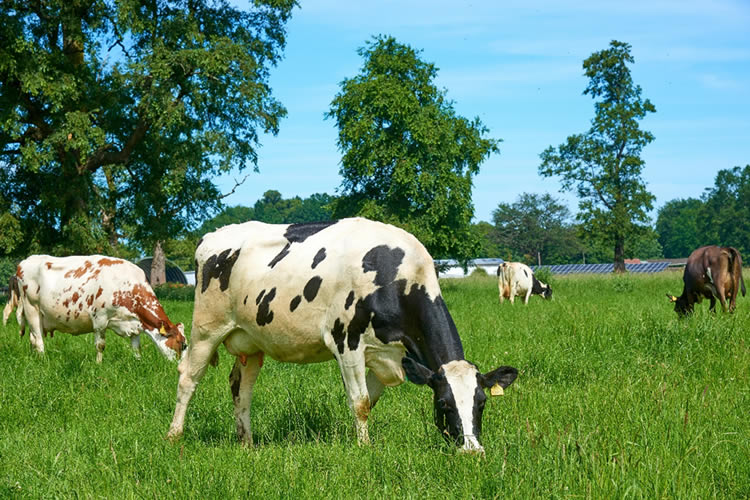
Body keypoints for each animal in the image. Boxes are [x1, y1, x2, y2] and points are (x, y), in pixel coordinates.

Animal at [2, 256, 187, 362]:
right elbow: (100, 346)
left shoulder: (133, 324)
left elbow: (136, 347)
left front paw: (138, 363)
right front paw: (99, 365)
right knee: (39, 339)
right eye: (183, 344)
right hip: (31, 309)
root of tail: (24, 262)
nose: (181, 370)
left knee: (33, 338)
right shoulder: (100, 319)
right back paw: (43, 360)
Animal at [167, 218, 520, 454]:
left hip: (251, 342)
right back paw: (174, 436)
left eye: (482, 402)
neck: (397, 277)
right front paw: (364, 449)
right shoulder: (346, 342)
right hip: (205, 330)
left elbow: (370, 401)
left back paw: (247, 443)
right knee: (187, 379)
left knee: (241, 388)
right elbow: (360, 402)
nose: (473, 451)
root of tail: (212, 236)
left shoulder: (389, 357)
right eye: (444, 403)